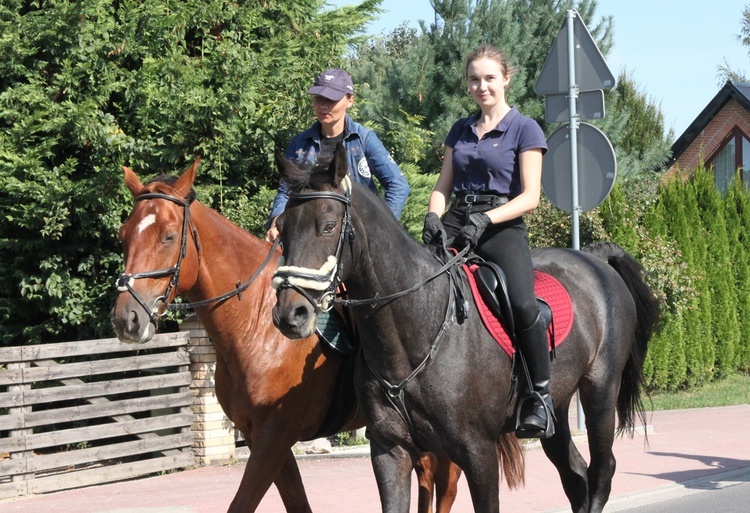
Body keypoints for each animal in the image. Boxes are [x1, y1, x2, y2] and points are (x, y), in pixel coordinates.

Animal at [111, 160, 468, 512]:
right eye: (123, 235)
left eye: (169, 237)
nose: (126, 319)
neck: (256, 324)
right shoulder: (263, 439)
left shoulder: (274, 438)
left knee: (445, 485)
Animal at [274, 144, 660, 512]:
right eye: (282, 228)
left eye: (327, 225)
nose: (290, 314)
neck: (415, 329)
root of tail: (594, 259)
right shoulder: (389, 451)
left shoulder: (478, 452)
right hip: (560, 408)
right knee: (575, 474)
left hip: (600, 393)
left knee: (602, 471)